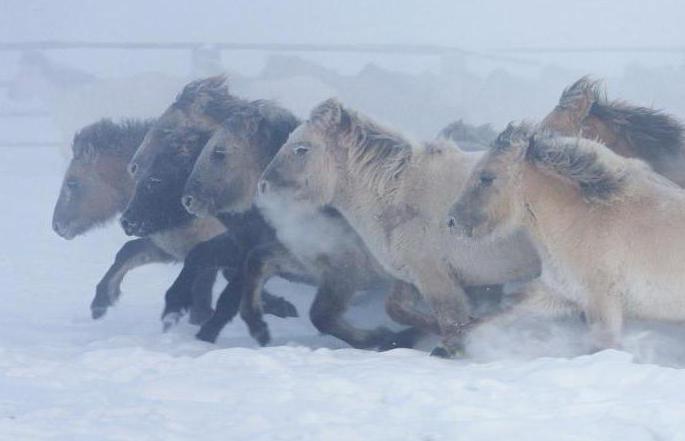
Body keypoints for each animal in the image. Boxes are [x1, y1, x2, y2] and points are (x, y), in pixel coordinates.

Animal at [446, 124, 684, 350]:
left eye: (486, 177)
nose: (451, 220)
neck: (583, 218)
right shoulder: (559, 294)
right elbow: (496, 317)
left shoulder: (602, 304)